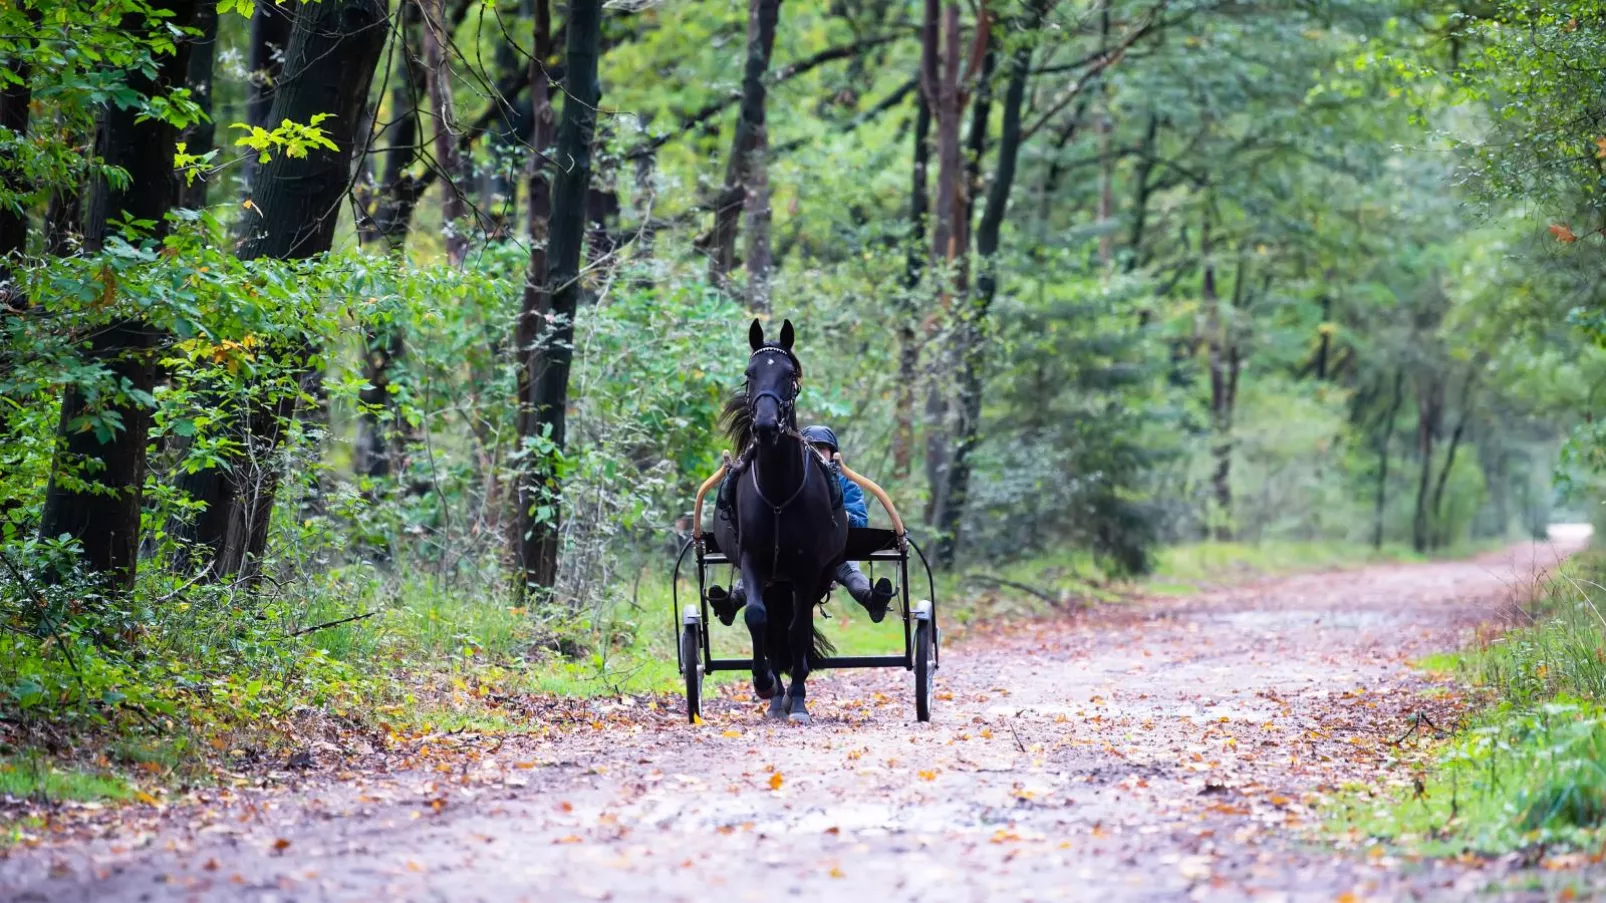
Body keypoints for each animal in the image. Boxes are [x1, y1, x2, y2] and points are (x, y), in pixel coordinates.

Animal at [713, 319, 847, 719]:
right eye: (750, 373)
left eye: (789, 375)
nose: (766, 425)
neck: (777, 495)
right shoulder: (753, 561)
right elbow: (757, 618)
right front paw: (764, 683)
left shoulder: (808, 570)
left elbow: (798, 629)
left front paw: (798, 699)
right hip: (775, 581)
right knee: (771, 625)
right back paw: (775, 697)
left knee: (794, 626)